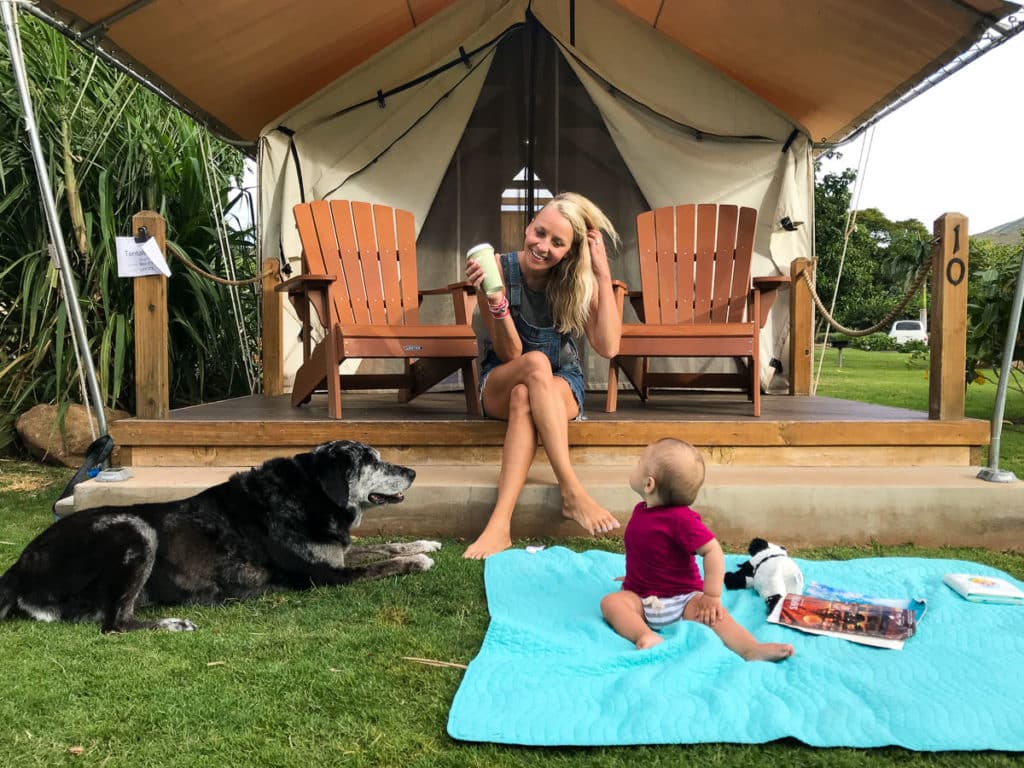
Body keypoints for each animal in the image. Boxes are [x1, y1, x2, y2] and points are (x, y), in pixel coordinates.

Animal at [0, 442, 440, 634]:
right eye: (371, 461)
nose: (414, 472)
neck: (309, 491)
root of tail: (18, 568)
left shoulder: (335, 555)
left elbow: (380, 547)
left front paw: (426, 544)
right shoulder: (326, 577)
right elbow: (384, 563)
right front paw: (418, 560)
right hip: (134, 528)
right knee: (113, 624)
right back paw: (172, 623)